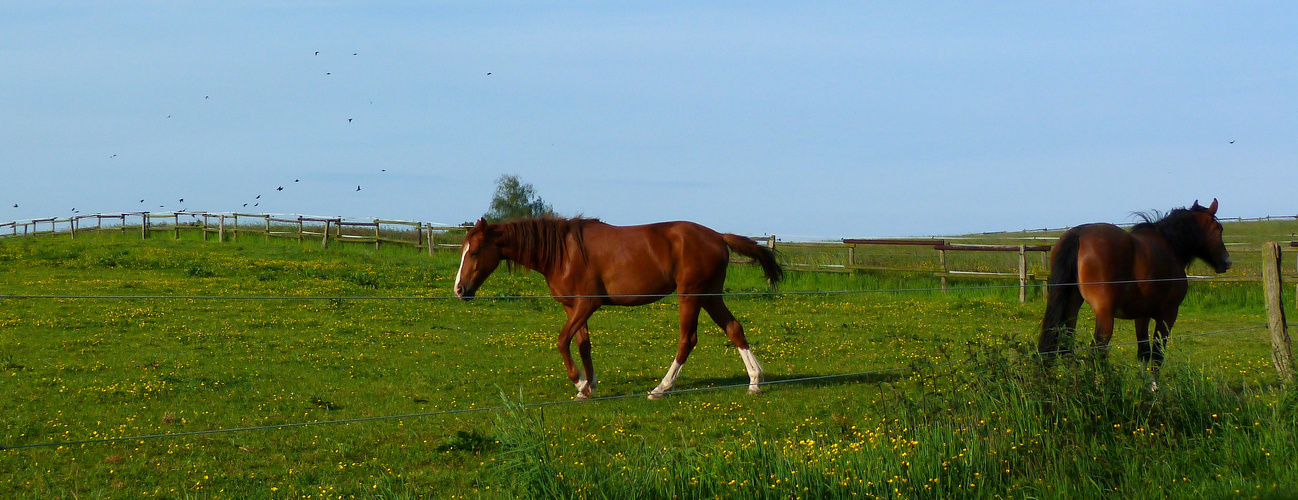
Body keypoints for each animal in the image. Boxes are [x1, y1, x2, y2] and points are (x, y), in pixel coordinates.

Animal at [456, 215, 778, 400]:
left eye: (474, 252)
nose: (459, 290)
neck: (562, 253)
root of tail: (718, 237)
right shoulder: (573, 309)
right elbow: (582, 344)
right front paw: (589, 387)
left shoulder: (587, 305)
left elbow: (561, 341)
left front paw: (578, 383)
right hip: (710, 296)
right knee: (735, 329)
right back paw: (755, 381)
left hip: (690, 296)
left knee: (687, 340)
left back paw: (661, 388)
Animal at [1038, 198, 1230, 374]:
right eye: (1218, 228)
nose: (1227, 261)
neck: (1170, 246)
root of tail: (1079, 234)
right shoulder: (1168, 315)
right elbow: (1157, 357)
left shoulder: (1142, 316)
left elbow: (1144, 354)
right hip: (1104, 315)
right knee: (1096, 351)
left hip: (1072, 307)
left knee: (1066, 346)